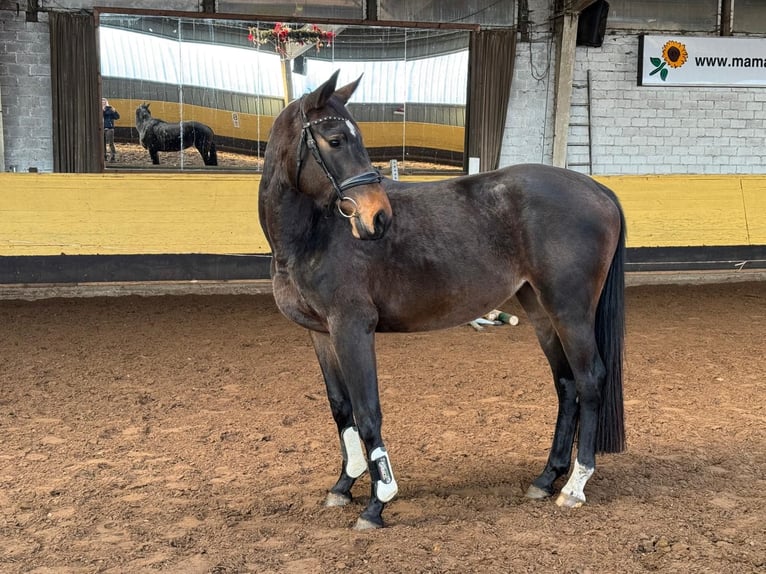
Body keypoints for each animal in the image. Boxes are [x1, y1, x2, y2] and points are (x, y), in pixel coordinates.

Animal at [258, 72, 624, 532]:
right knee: (567, 384)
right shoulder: (321, 334)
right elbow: (341, 409)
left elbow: (367, 411)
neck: (313, 234)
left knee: (590, 380)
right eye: (336, 139)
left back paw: (575, 485)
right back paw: (546, 478)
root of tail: (597, 188)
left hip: (570, 311)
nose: (379, 217)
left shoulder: (352, 328)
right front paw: (343, 485)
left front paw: (377, 502)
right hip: (541, 311)